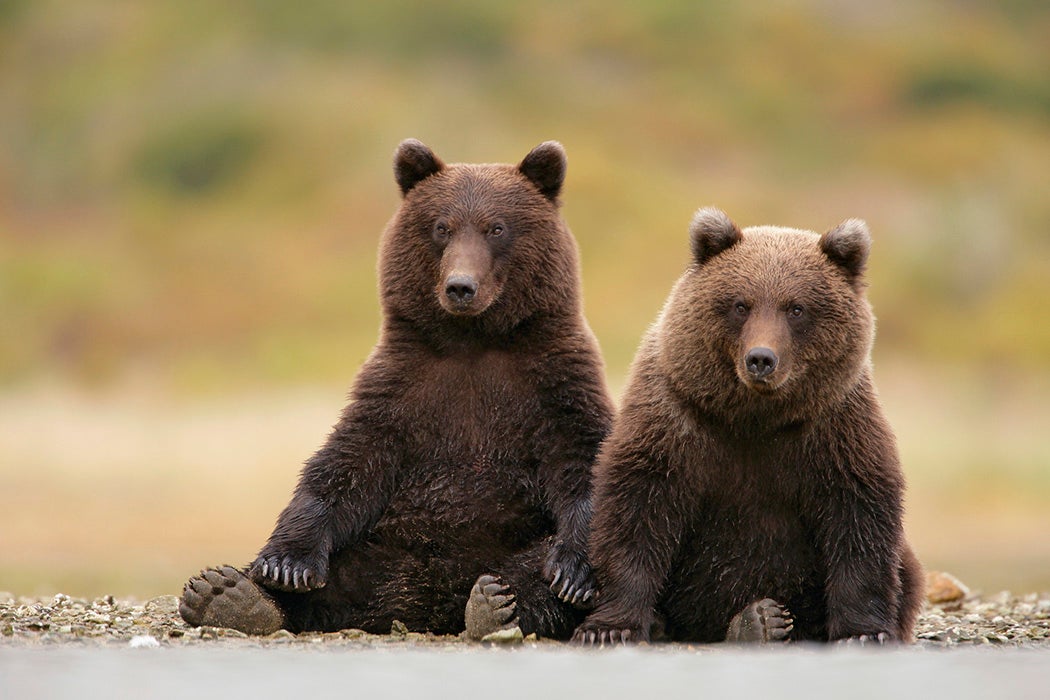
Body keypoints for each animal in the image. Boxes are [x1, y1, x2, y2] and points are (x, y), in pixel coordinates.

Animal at [176, 138, 613, 642]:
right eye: (441, 227)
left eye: (497, 227)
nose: (460, 286)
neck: (474, 341)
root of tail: (425, 604)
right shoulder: (403, 385)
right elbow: (347, 463)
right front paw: (285, 563)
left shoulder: (553, 383)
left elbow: (583, 457)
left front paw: (572, 573)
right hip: (378, 547)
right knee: (337, 575)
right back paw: (230, 595)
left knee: (534, 566)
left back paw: (497, 603)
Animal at [571, 206, 923, 646]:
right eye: (741, 304)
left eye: (796, 307)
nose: (760, 358)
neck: (754, 417)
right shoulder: (678, 416)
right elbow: (638, 505)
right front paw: (610, 626)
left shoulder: (833, 426)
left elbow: (857, 514)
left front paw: (863, 632)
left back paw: (761, 620)